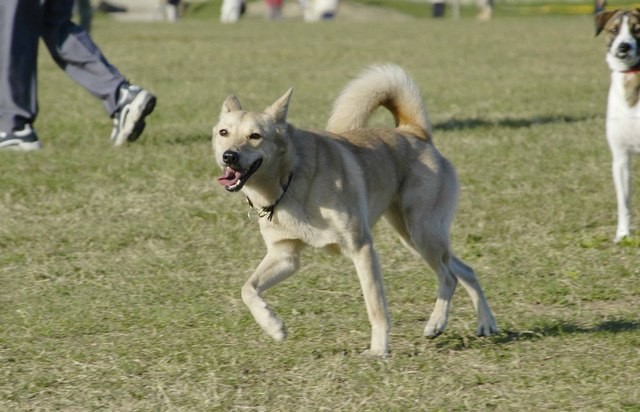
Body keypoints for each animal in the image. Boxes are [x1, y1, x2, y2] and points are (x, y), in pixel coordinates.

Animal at [212, 64, 498, 358]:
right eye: (223, 133)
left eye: (255, 136)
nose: (229, 156)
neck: (289, 178)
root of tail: (414, 132)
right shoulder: (285, 255)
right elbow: (248, 289)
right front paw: (274, 327)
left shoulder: (361, 248)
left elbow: (376, 306)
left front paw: (379, 350)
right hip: (413, 236)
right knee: (464, 269)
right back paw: (486, 323)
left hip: (422, 231)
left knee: (449, 276)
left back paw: (436, 324)